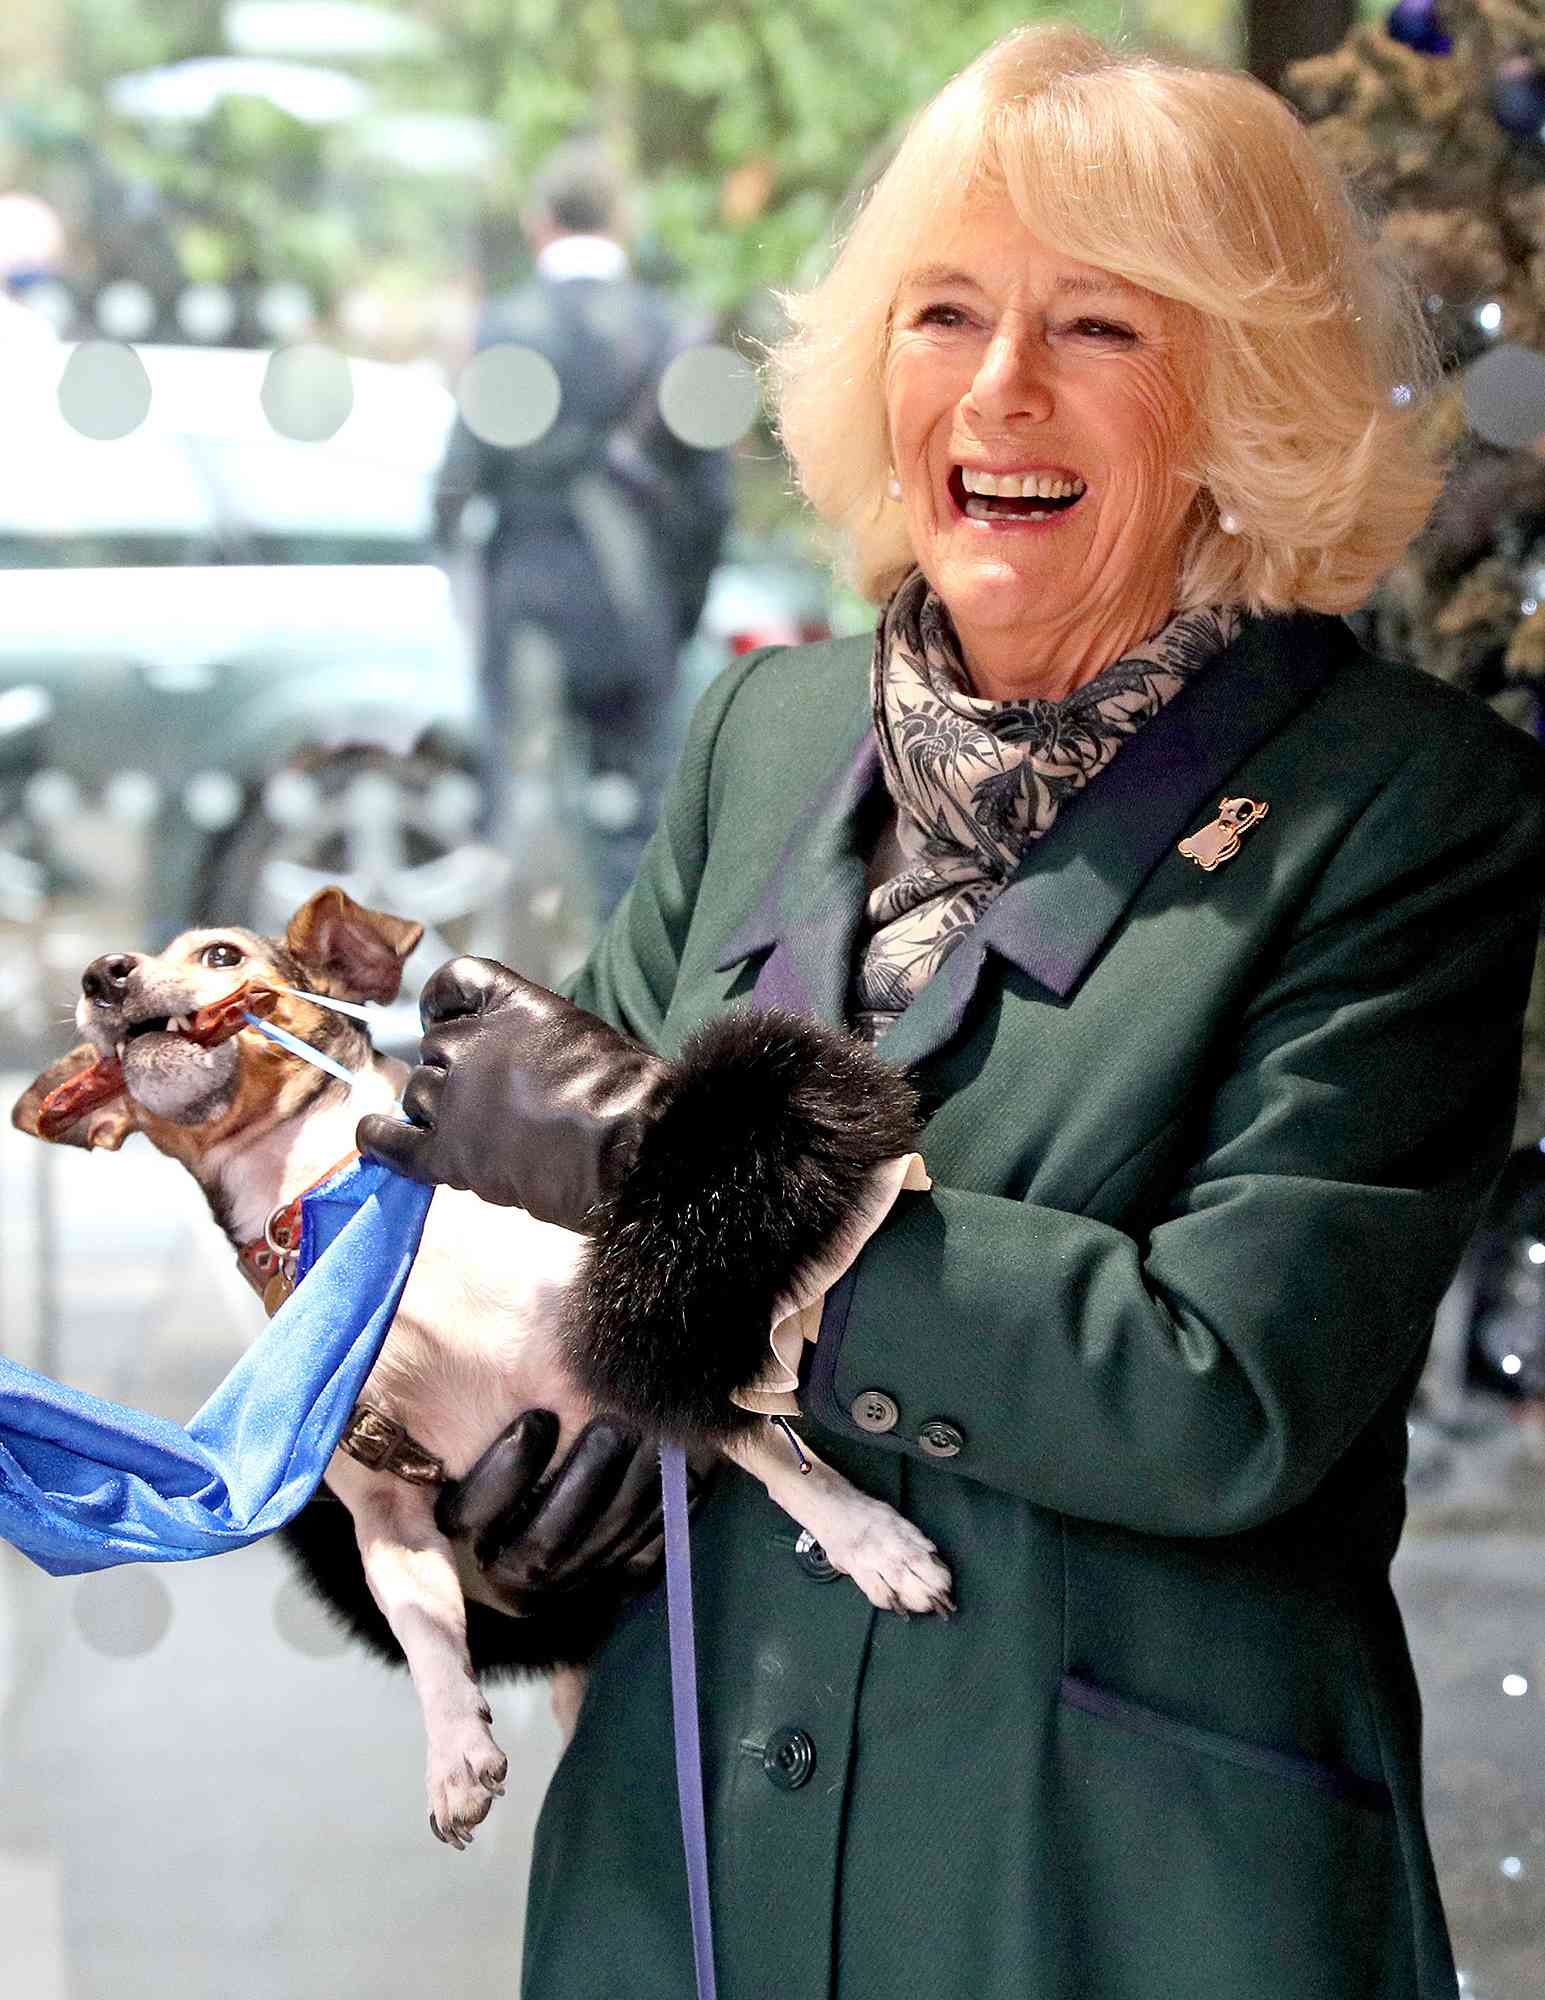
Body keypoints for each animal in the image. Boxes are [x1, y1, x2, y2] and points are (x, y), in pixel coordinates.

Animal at [15, 892, 952, 1840]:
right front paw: (454, 1755)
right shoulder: (388, 1512)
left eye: (221, 956)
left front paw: (871, 1543)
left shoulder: (649, 1353)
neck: (343, 1211)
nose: (102, 974)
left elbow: (775, 1454)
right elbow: (423, 1626)